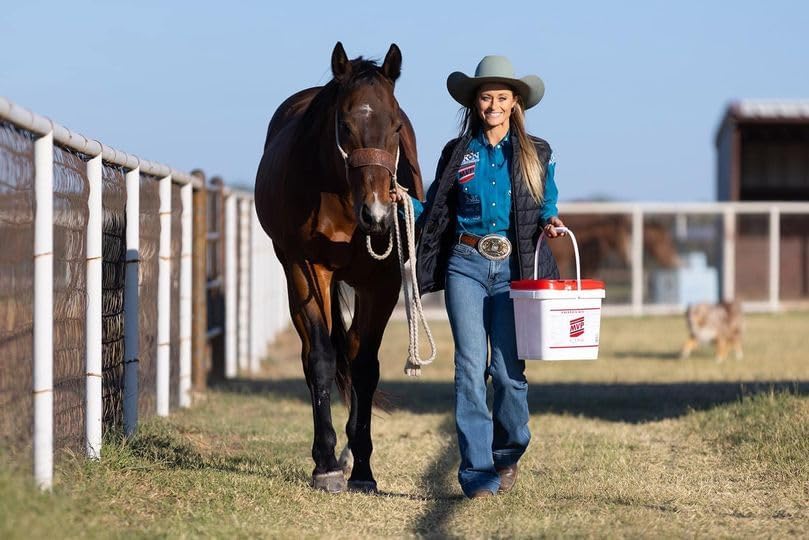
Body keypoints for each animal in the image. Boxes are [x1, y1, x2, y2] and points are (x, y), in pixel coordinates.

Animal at [254, 42, 424, 493]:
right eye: (345, 125)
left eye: (396, 126)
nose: (378, 214)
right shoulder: (306, 268)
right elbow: (321, 359)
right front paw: (327, 463)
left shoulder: (381, 281)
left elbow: (364, 366)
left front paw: (363, 467)